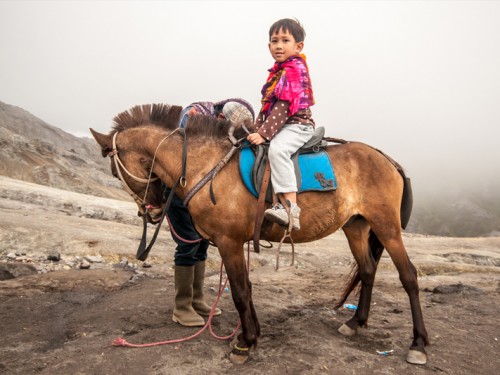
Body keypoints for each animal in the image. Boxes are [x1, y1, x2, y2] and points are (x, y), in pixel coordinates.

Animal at [91, 103, 430, 368]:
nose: (153, 210)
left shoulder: (228, 242)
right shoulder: (234, 243)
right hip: (356, 227)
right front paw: (251, 336)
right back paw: (354, 323)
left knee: (409, 276)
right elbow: (247, 288)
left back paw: (418, 344)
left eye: (113, 169)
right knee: (368, 270)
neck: (206, 163)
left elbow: (241, 292)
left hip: (386, 226)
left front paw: (244, 343)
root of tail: (388, 159)